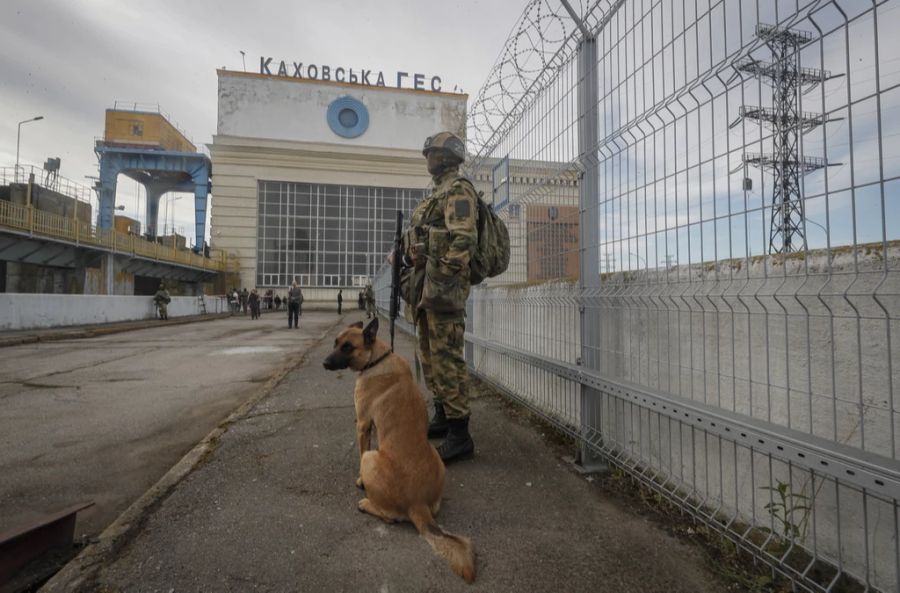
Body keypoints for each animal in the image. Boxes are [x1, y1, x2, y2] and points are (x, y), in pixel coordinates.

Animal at [326, 316, 478, 580]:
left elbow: (360, 452)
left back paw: (366, 504)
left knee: (389, 517)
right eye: (336, 342)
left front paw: (360, 482)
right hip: (436, 460)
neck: (377, 358)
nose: (324, 363)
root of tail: (417, 505)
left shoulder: (363, 426)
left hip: (371, 457)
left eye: (347, 347)